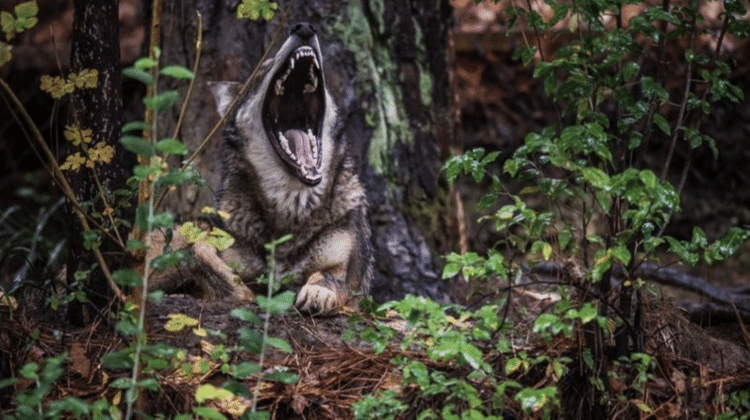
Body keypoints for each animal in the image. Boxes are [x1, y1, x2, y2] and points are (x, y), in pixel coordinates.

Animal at [149, 21, 374, 314]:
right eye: (263, 69)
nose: (304, 27)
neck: (290, 205)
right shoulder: (216, 246)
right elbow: (204, 253)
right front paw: (237, 291)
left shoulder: (348, 276)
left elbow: (326, 277)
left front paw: (317, 292)